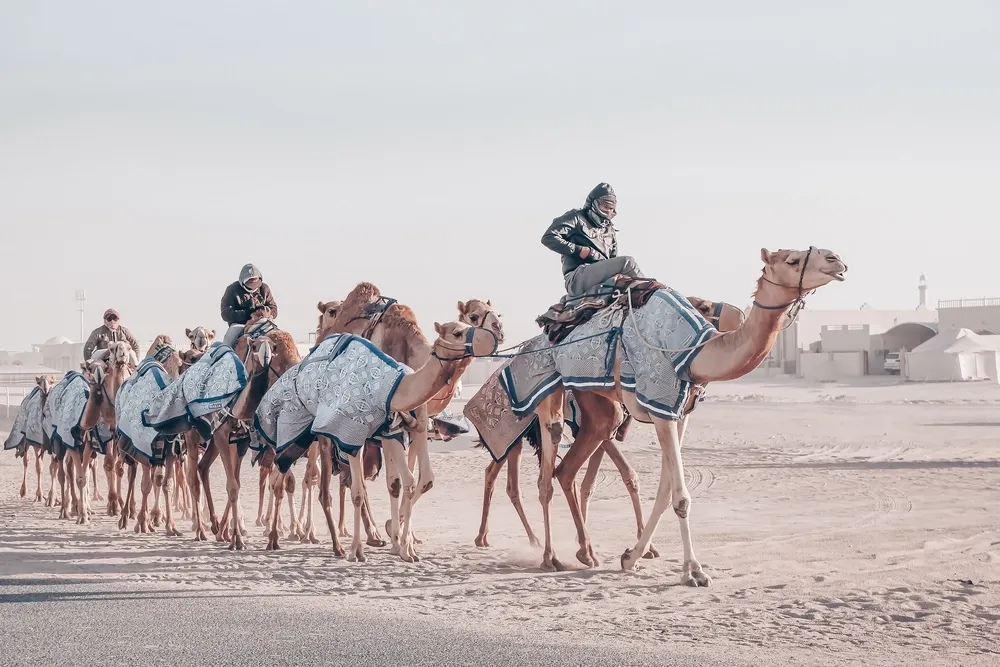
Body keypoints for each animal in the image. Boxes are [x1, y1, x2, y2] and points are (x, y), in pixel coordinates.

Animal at [264, 313, 499, 563]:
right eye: (457, 332)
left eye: (470, 324)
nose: (492, 337)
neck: (394, 390)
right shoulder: (351, 434)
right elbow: (359, 492)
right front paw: (358, 551)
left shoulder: (391, 432)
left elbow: (407, 481)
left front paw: (405, 548)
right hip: (302, 428)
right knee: (300, 480)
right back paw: (296, 537)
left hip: (306, 437)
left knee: (281, 474)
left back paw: (280, 537)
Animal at [473, 297, 746, 552]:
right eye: (704, 306)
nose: (739, 315)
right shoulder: (595, 428)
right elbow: (624, 475)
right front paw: (635, 545)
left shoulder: (603, 433)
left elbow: (593, 483)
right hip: (515, 433)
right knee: (504, 477)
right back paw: (502, 539)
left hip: (519, 438)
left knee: (501, 475)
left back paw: (516, 538)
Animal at [525, 247, 846, 582]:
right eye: (792, 261)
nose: (836, 260)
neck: (691, 354)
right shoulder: (661, 406)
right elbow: (680, 497)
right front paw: (693, 570)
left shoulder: (680, 413)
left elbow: (666, 493)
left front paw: (631, 557)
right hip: (549, 387)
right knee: (547, 471)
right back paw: (549, 557)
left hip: (597, 405)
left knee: (568, 469)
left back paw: (586, 553)